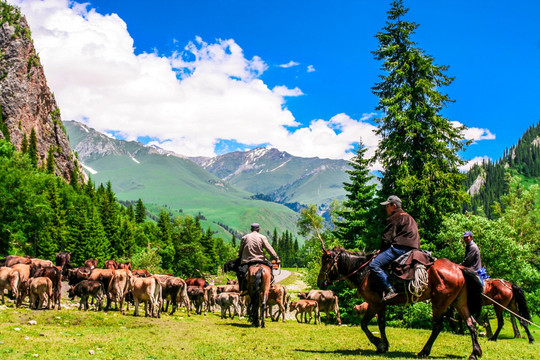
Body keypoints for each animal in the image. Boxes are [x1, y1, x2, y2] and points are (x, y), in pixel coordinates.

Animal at [318, 248, 484, 360]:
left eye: (326, 261)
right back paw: (475, 353)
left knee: (437, 326)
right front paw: (384, 345)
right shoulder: (381, 305)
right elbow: (381, 325)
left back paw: (424, 351)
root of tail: (458, 268)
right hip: (459, 302)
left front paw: (378, 343)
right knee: (471, 323)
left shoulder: (374, 303)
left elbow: (364, 324)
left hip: (440, 302)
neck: (365, 271)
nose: (320, 282)